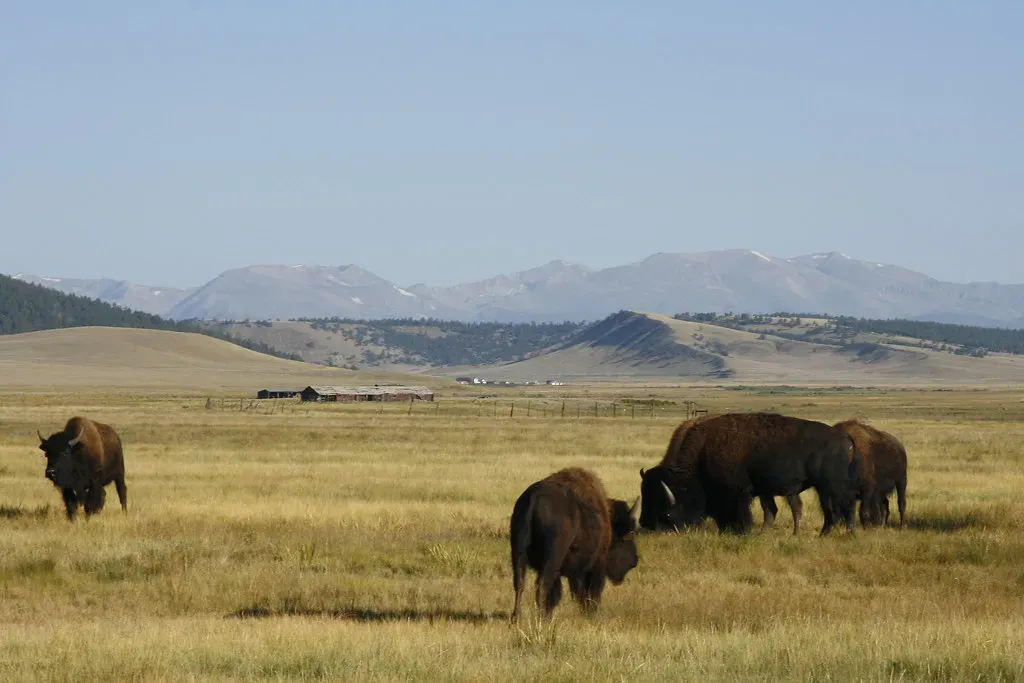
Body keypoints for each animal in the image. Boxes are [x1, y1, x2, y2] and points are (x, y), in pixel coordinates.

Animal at [510, 467, 639, 621]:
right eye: (629, 534)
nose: (634, 561)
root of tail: (534, 498)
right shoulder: (595, 564)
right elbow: (590, 591)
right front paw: (591, 613)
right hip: (553, 558)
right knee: (543, 585)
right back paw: (542, 619)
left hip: (517, 552)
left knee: (520, 583)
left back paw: (517, 618)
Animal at [639, 412, 861, 536]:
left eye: (667, 509)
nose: (646, 525)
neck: (704, 450)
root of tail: (843, 437)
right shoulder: (761, 490)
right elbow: (769, 511)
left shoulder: (739, 492)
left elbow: (744, 513)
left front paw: (740, 532)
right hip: (823, 487)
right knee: (829, 509)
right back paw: (823, 534)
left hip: (833, 484)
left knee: (845, 504)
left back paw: (848, 533)